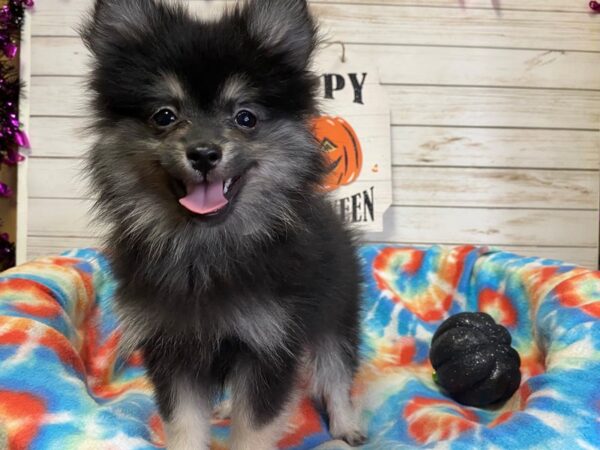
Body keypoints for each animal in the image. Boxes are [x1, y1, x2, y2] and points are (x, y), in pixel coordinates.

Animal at [81, 0, 364, 450]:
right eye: (164, 115)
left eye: (245, 117)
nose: (203, 153)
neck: (205, 246)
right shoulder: (173, 350)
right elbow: (185, 425)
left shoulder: (269, 344)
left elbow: (255, 428)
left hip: (335, 315)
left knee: (335, 372)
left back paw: (346, 425)